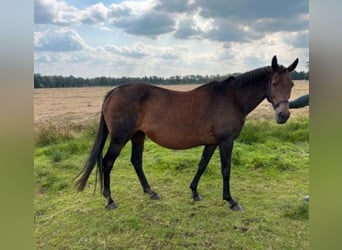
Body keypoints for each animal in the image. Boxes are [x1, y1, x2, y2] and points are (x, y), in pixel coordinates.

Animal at [74, 55, 296, 211]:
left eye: (291, 84)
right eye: (274, 83)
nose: (283, 115)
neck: (232, 98)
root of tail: (114, 92)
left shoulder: (212, 142)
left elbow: (202, 165)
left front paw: (195, 192)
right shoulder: (226, 141)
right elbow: (226, 169)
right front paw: (230, 200)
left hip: (138, 136)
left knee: (136, 161)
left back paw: (150, 192)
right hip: (120, 138)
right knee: (107, 163)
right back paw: (110, 199)